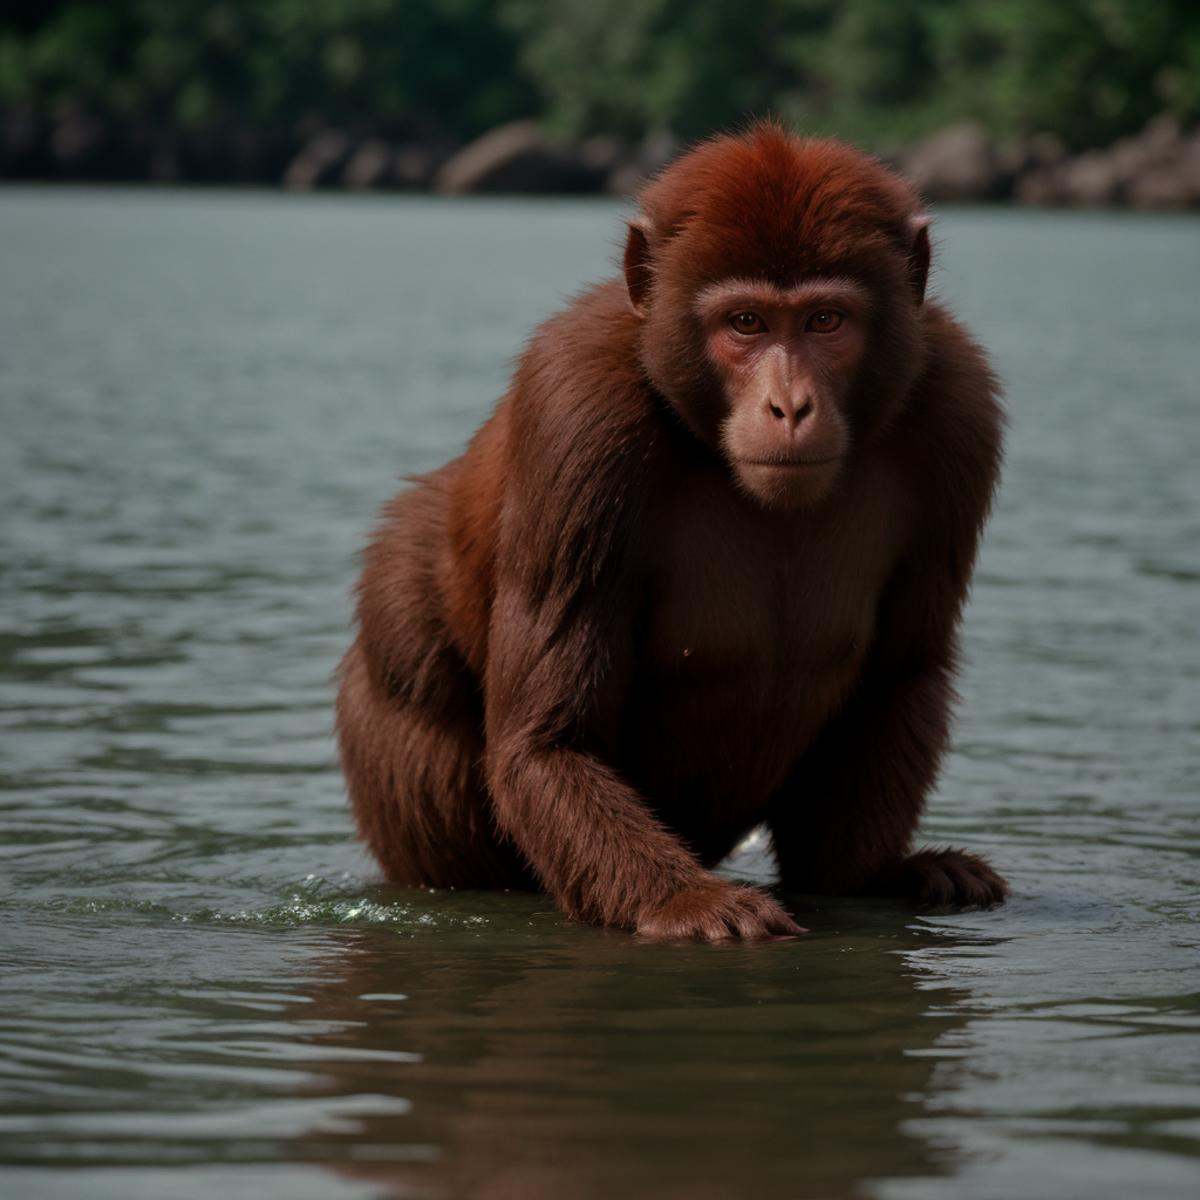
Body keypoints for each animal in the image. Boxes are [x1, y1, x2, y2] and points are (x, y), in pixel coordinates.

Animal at [336, 121, 1008, 941]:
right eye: (746, 323)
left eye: (825, 321)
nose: (790, 405)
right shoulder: (579, 408)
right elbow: (548, 741)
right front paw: (683, 901)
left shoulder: (959, 408)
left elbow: (900, 673)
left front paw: (872, 877)